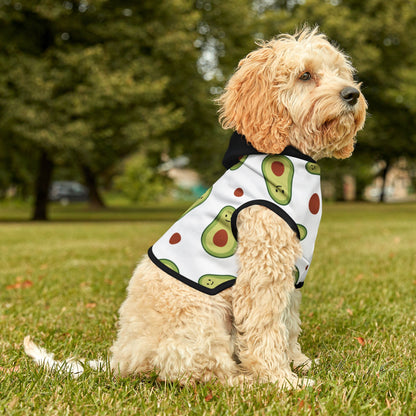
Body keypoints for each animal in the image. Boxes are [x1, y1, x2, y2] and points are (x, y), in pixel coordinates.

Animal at [24, 27, 366, 388]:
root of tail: (122, 359)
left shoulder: (292, 269)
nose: (352, 94)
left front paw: (298, 363)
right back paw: (244, 380)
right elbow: (266, 327)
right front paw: (281, 380)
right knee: (201, 371)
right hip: (202, 316)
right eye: (305, 75)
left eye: (340, 72)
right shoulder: (263, 269)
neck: (289, 155)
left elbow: (288, 322)